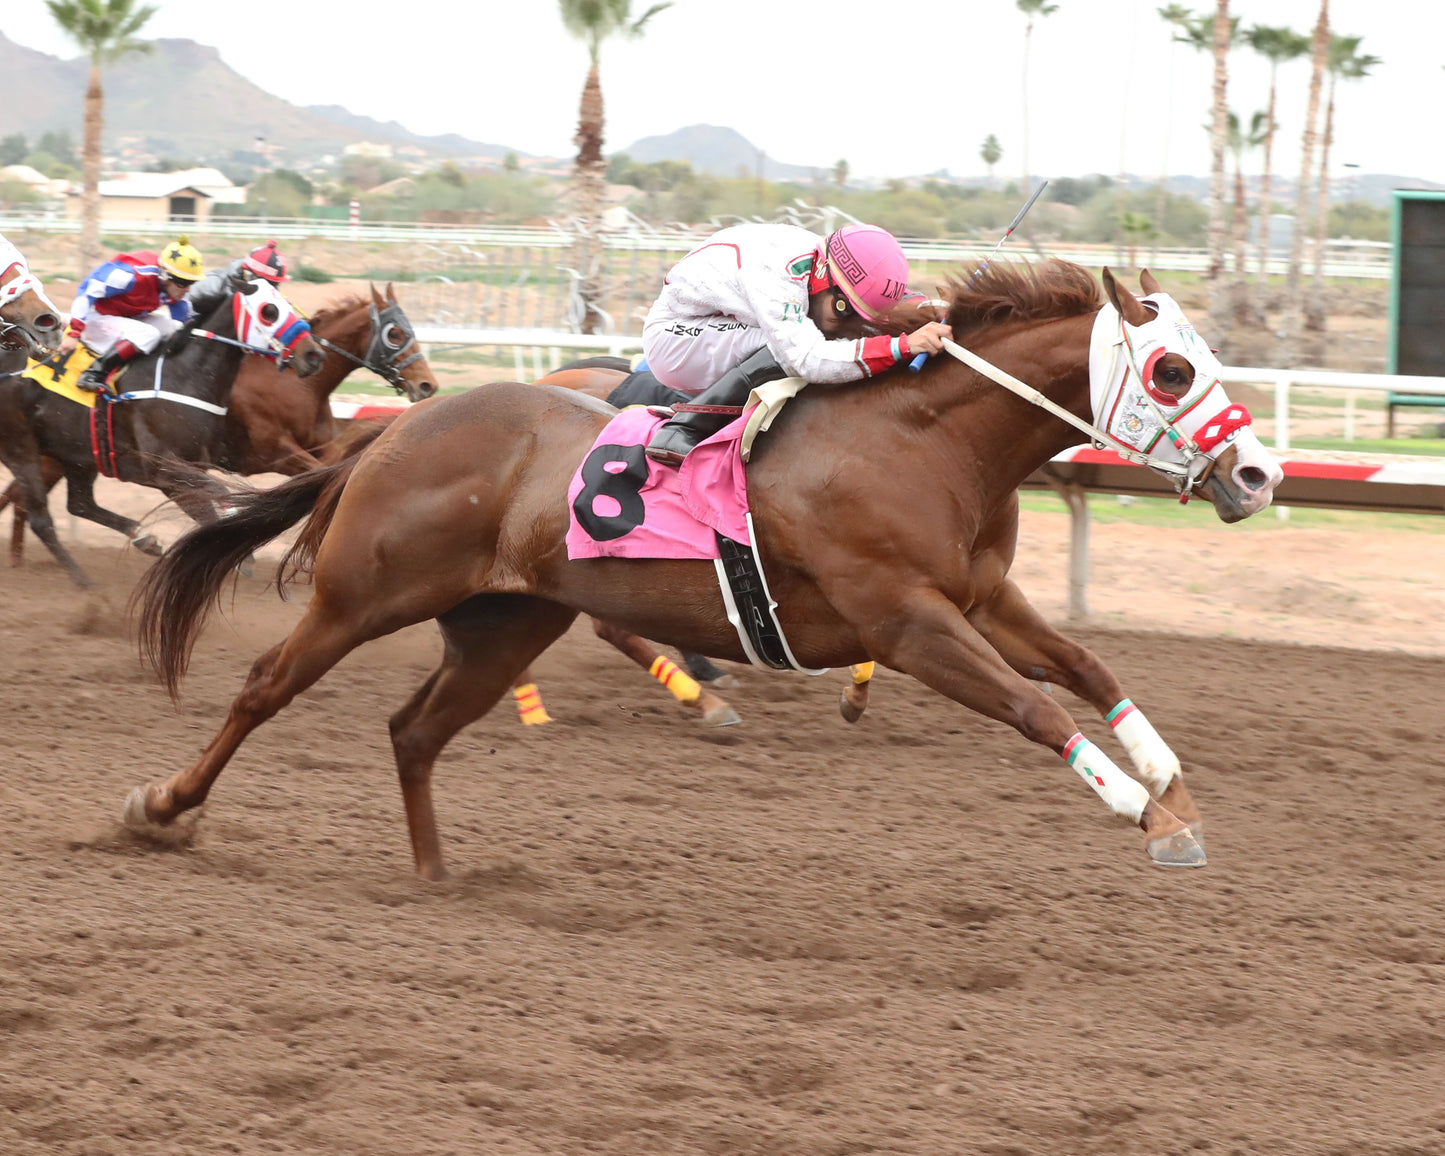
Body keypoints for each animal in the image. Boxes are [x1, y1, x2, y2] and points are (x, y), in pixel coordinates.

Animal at [0, 273, 325, 587]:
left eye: (288, 305)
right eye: (269, 311)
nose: (314, 355)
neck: (181, 376)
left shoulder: (187, 470)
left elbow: (206, 511)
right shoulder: (165, 468)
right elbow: (219, 495)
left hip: (76, 454)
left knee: (79, 504)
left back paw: (143, 538)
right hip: (21, 448)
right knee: (40, 517)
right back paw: (85, 584)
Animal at [130, 263, 1283, 882]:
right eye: (1171, 369)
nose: (1257, 474)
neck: (922, 441)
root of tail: (396, 427)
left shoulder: (979, 596)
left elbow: (1085, 669)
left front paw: (1167, 779)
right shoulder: (906, 622)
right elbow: (1033, 706)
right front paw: (1150, 820)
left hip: (503, 621)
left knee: (414, 730)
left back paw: (433, 872)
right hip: (363, 593)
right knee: (264, 688)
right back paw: (160, 807)